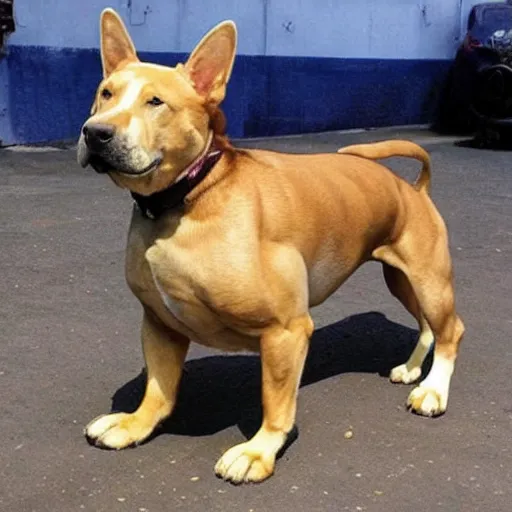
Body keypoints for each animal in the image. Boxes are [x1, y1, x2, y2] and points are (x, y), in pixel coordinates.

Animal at [79, 9, 464, 484]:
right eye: (106, 93)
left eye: (156, 102)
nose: (95, 133)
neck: (190, 199)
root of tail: (413, 188)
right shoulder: (159, 323)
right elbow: (159, 387)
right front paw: (136, 423)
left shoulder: (286, 331)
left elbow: (275, 401)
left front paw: (259, 450)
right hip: (402, 280)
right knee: (428, 326)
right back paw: (413, 370)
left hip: (431, 281)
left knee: (451, 331)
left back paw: (434, 391)